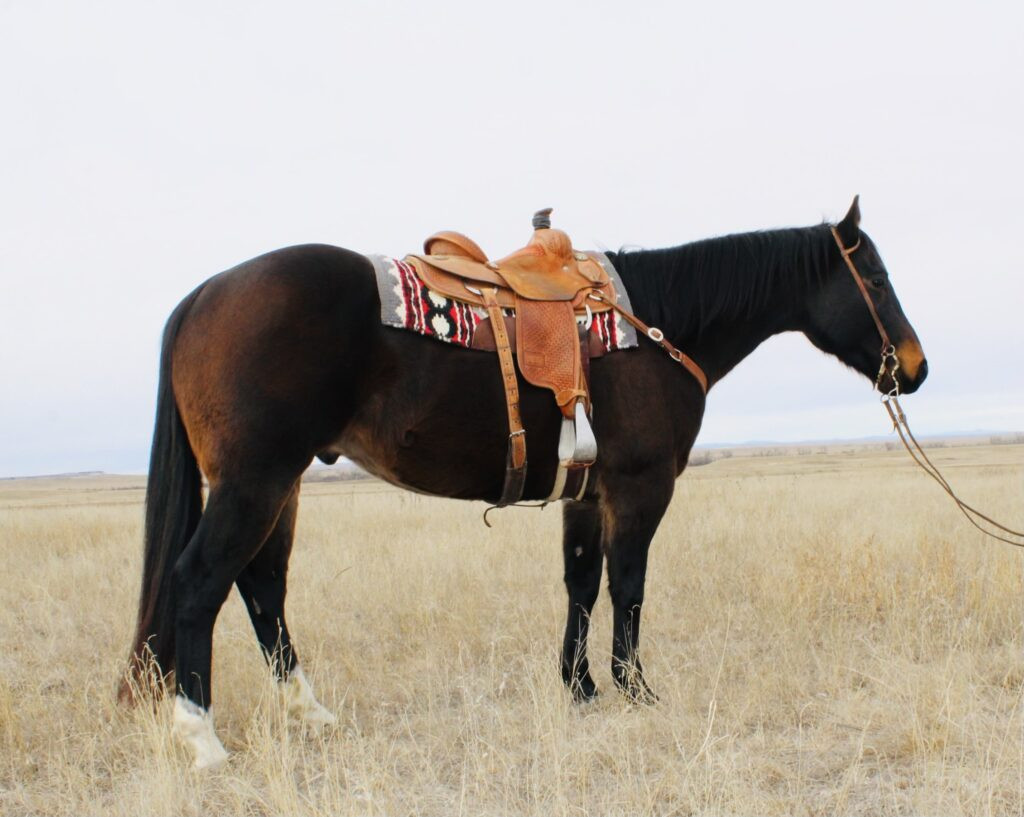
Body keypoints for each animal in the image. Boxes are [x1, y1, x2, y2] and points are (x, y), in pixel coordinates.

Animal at [119, 197, 927, 767]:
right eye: (875, 278)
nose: (916, 368)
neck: (658, 326)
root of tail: (203, 296)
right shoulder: (640, 489)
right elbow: (628, 587)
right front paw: (635, 688)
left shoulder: (588, 495)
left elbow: (580, 583)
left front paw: (581, 687)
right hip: (253, 481)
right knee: (199, 582)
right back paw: (202, 737)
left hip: (276, 486)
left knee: (262, 588)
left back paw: (308, 713)